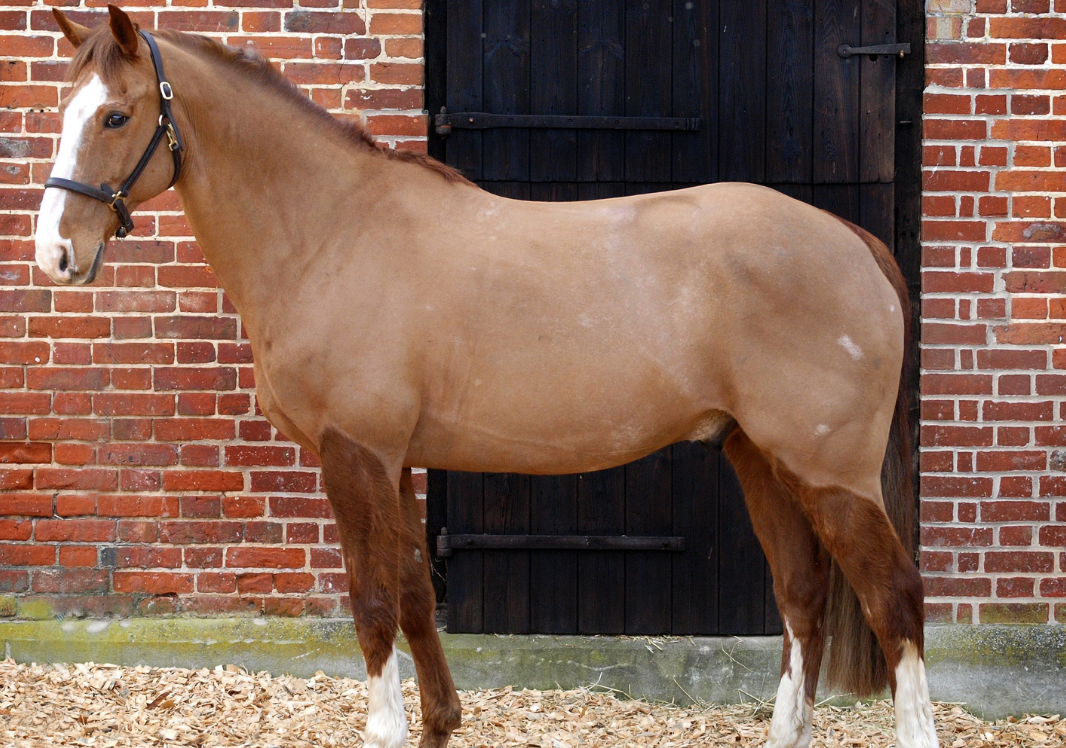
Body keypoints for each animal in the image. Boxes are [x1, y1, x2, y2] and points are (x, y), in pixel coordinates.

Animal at [35, 7, 936, 748]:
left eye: (116, 115)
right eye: (60, 113)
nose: (55, 254)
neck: (332, 232)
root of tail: (853, 240)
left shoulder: (352, 453)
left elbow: (370, 604)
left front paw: (388, 731)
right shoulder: (395, 459)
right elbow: (411, 594)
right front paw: (440, 724)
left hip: (831, 473)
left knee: (893, 598)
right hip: (758, 456)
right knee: (802, 598)